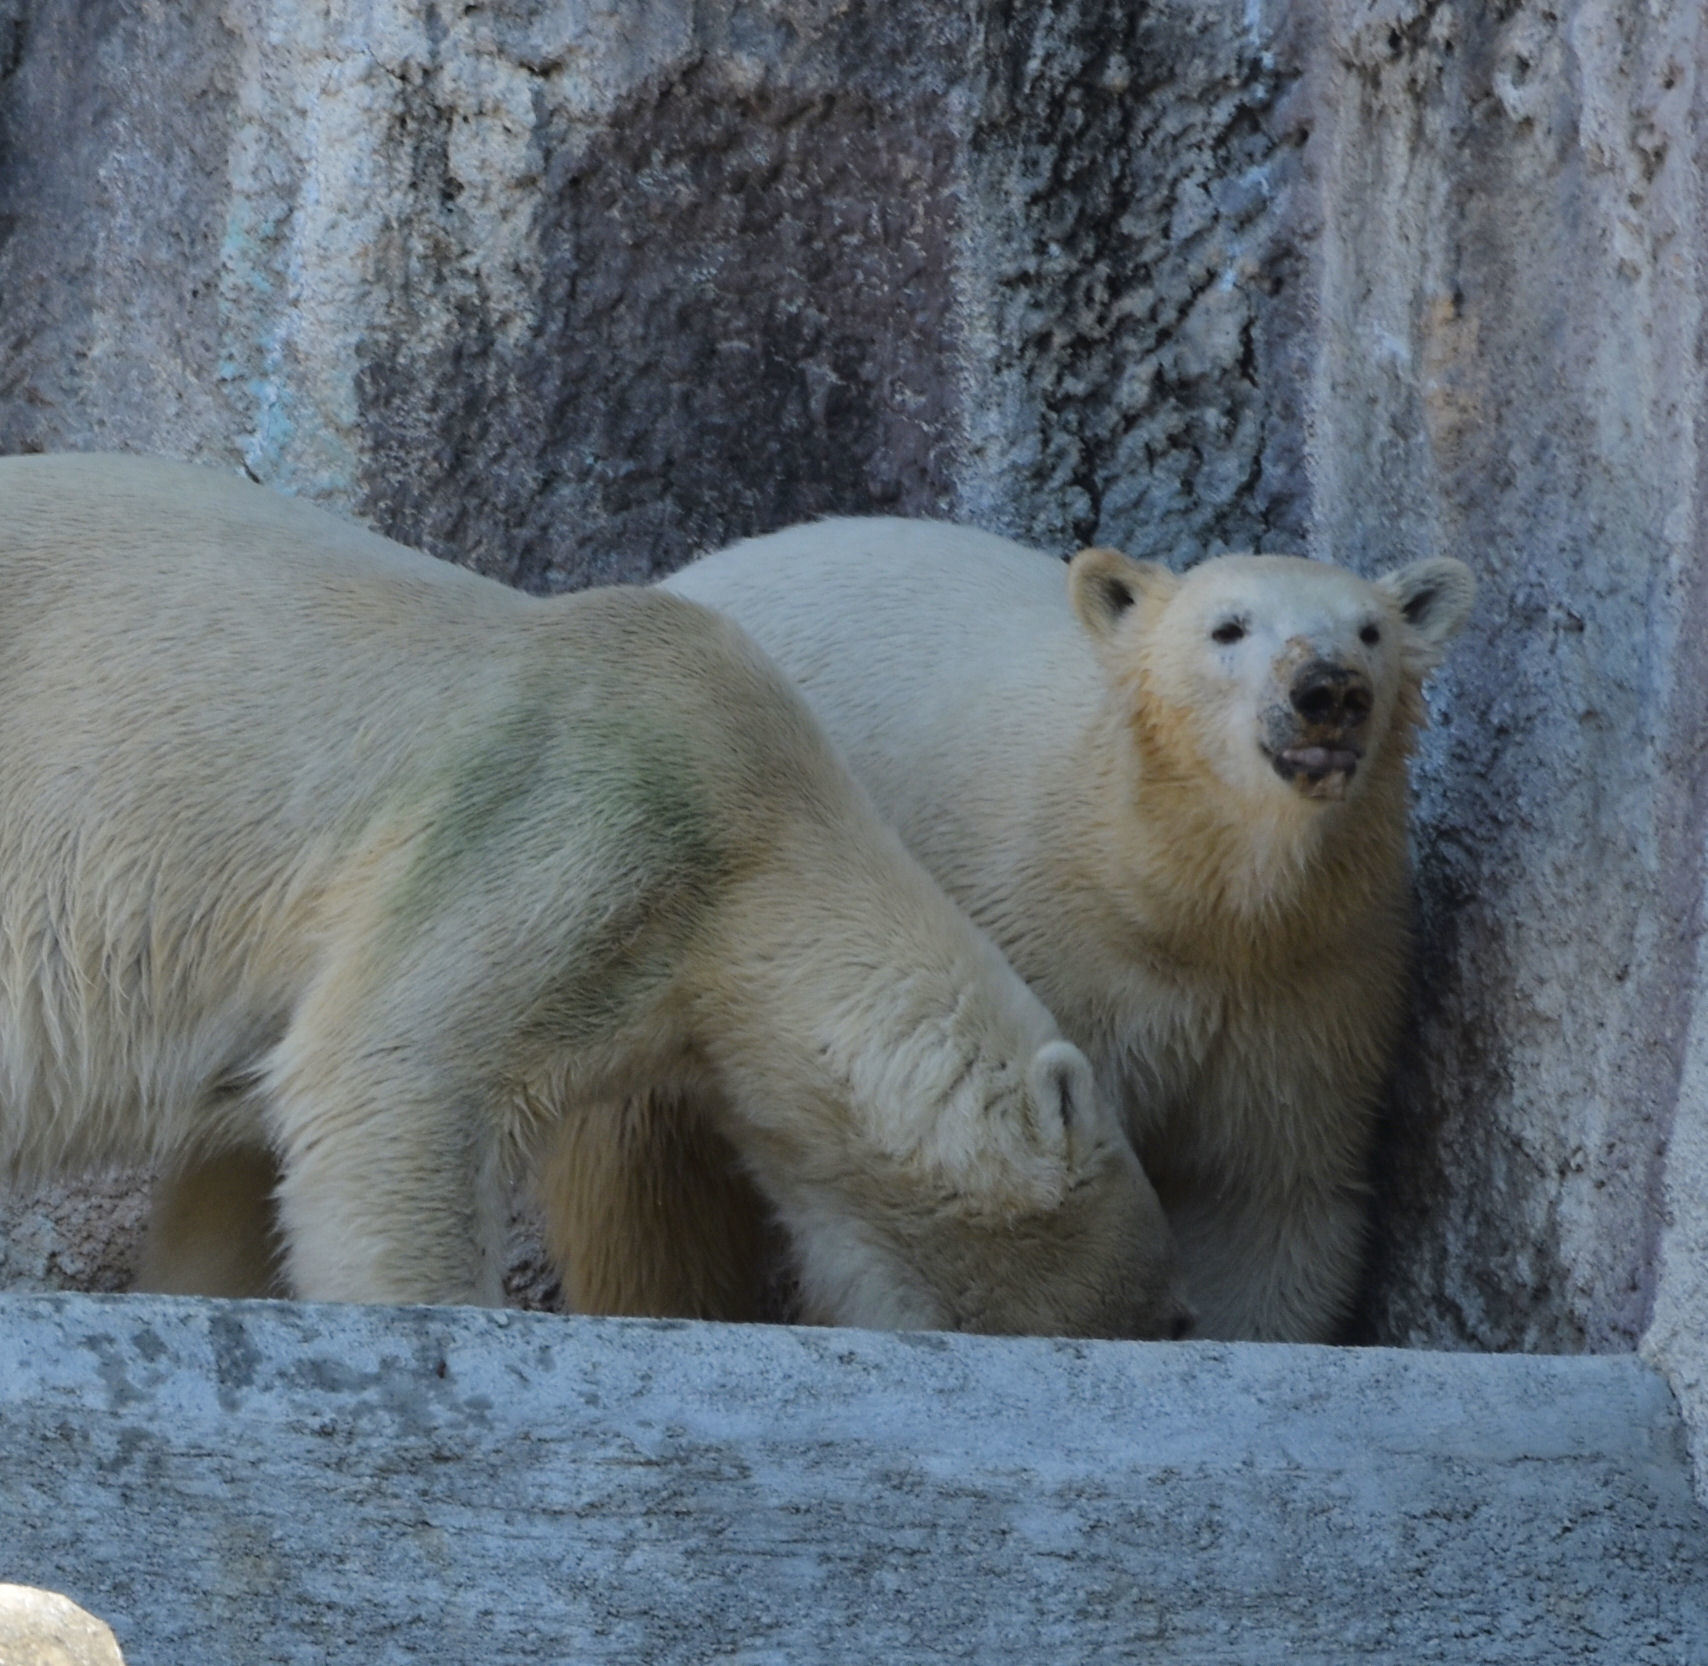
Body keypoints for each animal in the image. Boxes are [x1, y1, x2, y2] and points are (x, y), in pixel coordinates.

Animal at [0, 454, 1188, 1339]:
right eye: (1156, 1306)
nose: (1181, 1319)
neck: (764, 825)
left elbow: (245, 1157)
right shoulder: (568, 813)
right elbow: (390, 1069)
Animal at [666, 519, 1482, 1339]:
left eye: (1371, 631)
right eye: (1228, 627)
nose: (1328, 689)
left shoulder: (1314, 986)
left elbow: (1263, 1197)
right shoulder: (1058, 949)